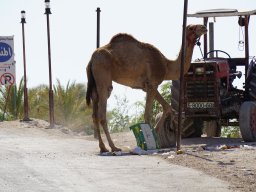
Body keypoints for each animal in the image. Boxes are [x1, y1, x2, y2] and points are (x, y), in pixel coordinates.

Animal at [87, 24, 207, 153]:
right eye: (191, 28)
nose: (204, 27)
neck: (167, 66)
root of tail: (91, 59)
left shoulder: (148, 86)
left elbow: (167, 107)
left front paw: (159, 133)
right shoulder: (152, 84)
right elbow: (148, 114)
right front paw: (150, 140)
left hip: (95, 85)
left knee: (94, 115)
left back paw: (103, 147)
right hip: (103, 79)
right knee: (102, 114)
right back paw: (114, 147)